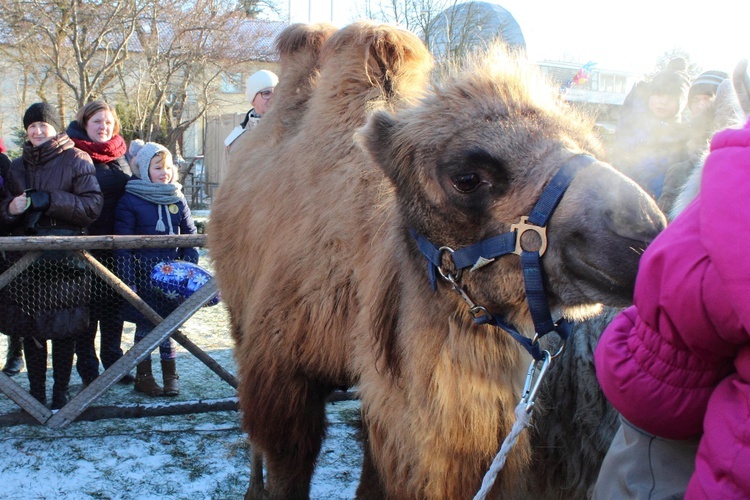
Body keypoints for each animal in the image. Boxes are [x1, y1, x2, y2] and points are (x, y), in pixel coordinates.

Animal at [209, 21, 668, 498]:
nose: (641, 232)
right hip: (239, 314)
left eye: (594, 147)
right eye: (467, 177)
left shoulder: (387, 399)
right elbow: (284, 459)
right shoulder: (283, 375)